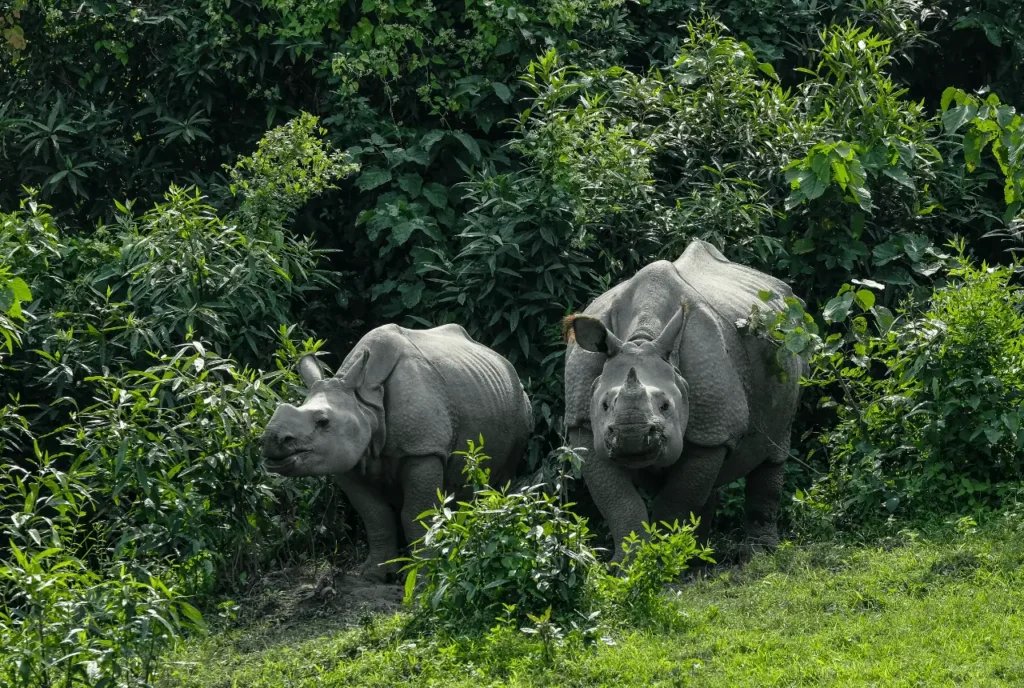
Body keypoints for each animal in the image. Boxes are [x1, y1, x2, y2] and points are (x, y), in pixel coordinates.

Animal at [260, 323, 532, 581]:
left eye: (323, 422)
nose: (271, 440)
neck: (365, 402)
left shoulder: (423, 449)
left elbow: (416, 515)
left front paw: (424, 576)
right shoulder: (347, 457)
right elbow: (375, 515)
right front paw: (376, 575)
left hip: (520, 403)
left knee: (503, 475)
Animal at [561, 239, 806, 561]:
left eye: (666, 406)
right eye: (603, 405)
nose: (631, 436)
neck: (641, 339)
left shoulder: (711, 430)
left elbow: (677, 500)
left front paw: (667, 559)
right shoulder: (583, 425)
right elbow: (619, 502)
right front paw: (628, 564)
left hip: (792, 342)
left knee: (774, 449)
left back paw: (757, 554)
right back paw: (700, 557)